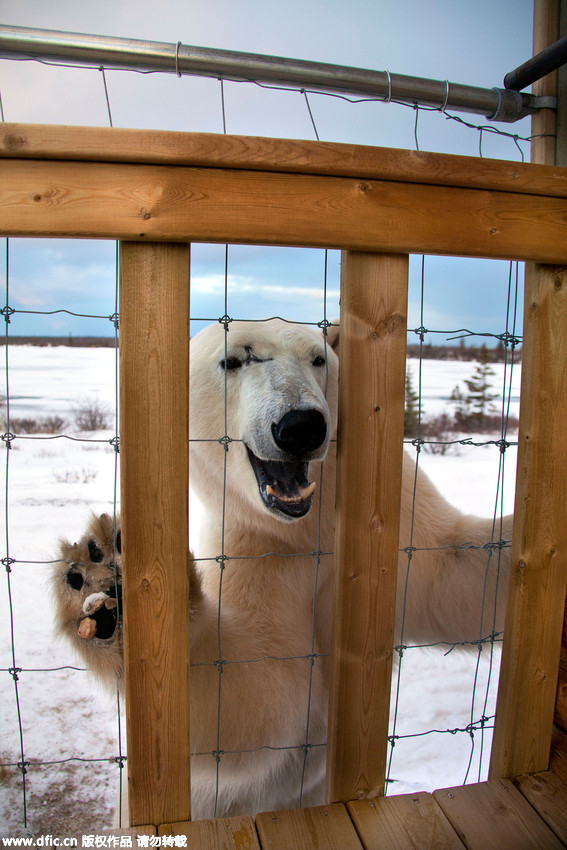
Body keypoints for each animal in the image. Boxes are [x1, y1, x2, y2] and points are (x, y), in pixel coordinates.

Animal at [52, 318, 512, 822]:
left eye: (318, 357)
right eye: (235, 359)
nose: (300, 427)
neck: (310, 532)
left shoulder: (401, 516)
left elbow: (457, 574)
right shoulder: (258, 551)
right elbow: (256, 695)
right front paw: (105, 583)